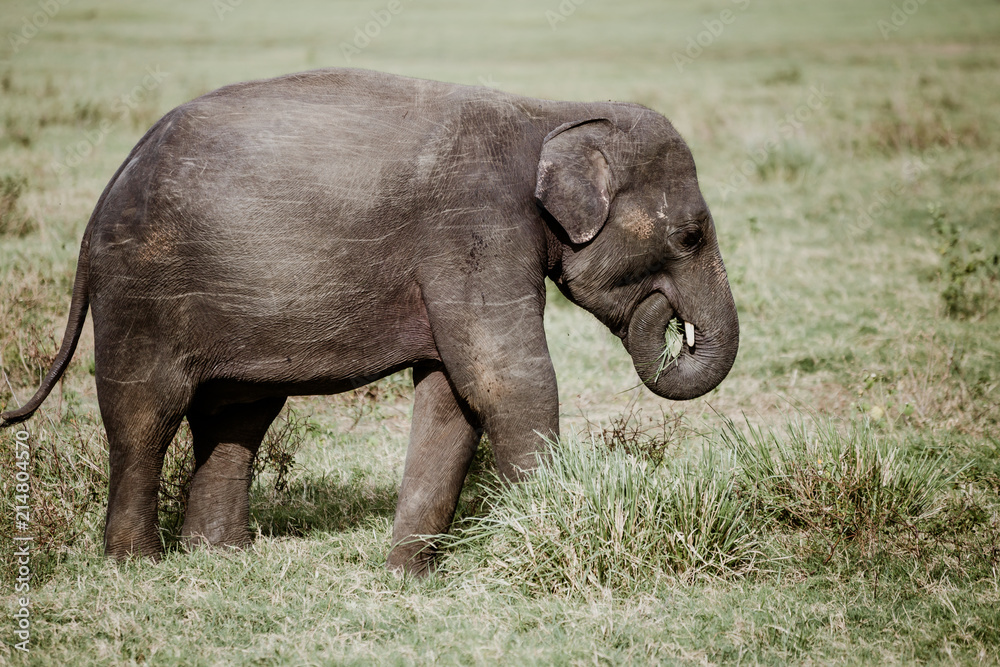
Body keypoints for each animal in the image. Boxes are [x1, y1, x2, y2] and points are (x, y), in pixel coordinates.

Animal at [0, 69, 736, 580]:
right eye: (691, 236)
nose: (669, 324)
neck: (550, 111)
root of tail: (101, 204)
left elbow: (451, 397)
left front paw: (409, 576)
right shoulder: (477, 229)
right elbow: (505, 380)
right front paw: (546, 529)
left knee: (236, 415)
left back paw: (221, 557)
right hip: (142, 292)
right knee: (145, 414)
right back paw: (139, 565)